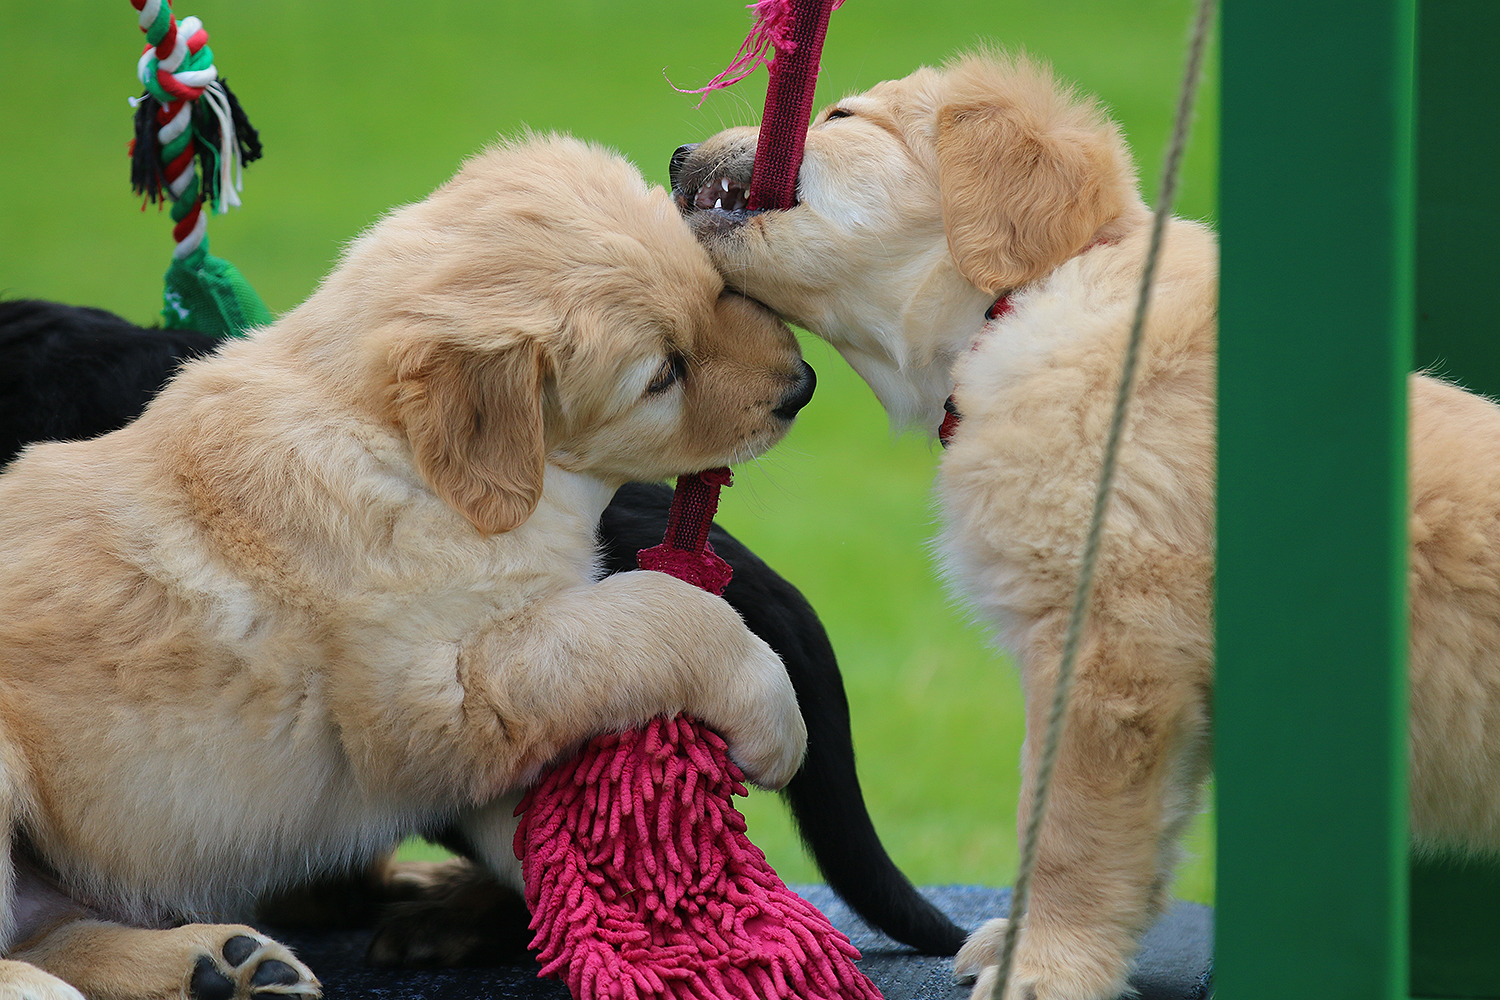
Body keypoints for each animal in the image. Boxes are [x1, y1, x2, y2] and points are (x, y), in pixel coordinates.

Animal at [0, 133, 825, 1000]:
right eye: (663, 375)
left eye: (719, 289)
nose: (802, 386)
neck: (406, 456)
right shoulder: (432, 691)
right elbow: (656, 610)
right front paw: (772, 718)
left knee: (51, 927)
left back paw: (223, 963)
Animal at [670, 51, 1500, 1000]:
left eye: (841, 116)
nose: (676, 153)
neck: (1017, 307)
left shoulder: (1111, 653)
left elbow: (1067, 830)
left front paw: (1043, 966)